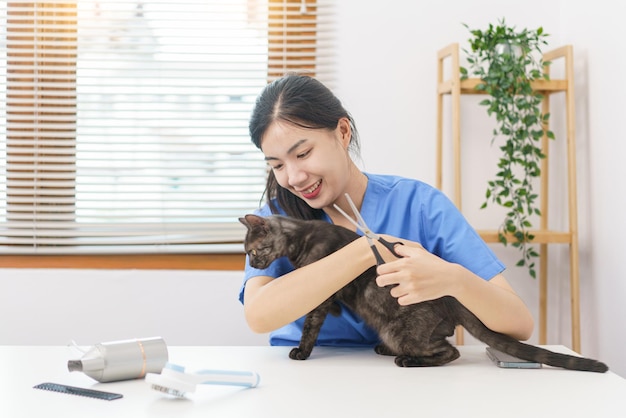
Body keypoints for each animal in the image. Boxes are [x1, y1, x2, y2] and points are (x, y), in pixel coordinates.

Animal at [236, 212, 608, 372]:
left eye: (253, 252)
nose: (253, 266)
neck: (300, 238)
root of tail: (452, 299)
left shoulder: (321, 296)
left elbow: (311, 326)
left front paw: (301, 352)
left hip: (399, 329)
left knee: (449, 352)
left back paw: (406, 360)